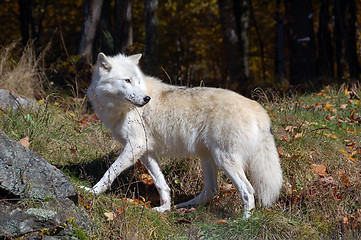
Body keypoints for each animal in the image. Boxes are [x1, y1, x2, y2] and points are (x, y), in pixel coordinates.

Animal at [84, 52, 282, 218]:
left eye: (138, 81)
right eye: (127, 80)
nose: (146, 99)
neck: (119, 108)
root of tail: (259, 110)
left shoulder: (135, 146)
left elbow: (110, 172)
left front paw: (91, 192)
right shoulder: (146, 152)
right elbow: (161, 183)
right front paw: (164, 208)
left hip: (224, 160)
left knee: (248, 190)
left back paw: (244, 221)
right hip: (208, 157)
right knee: (212, 190)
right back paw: (183, 206)